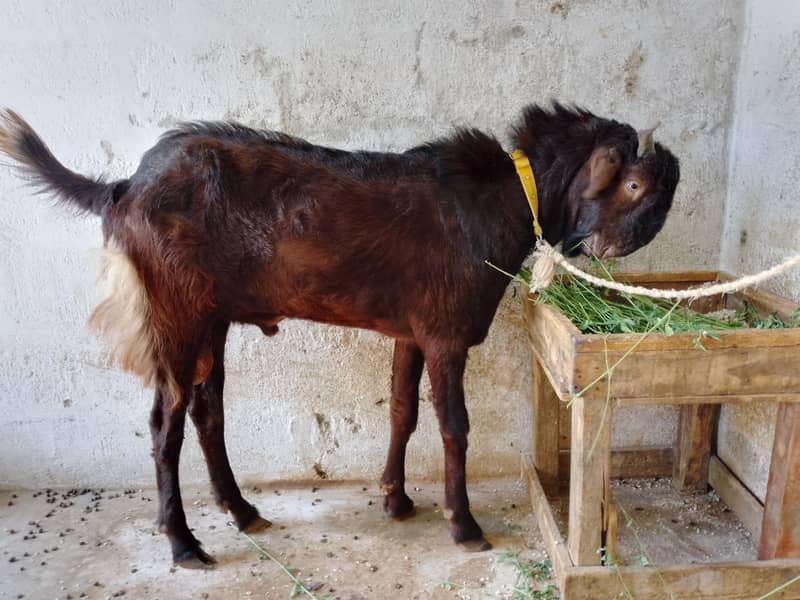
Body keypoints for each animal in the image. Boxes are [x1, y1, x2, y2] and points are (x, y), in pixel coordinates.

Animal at [0, 103, 679, 566]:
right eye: (634, 184)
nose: (615, 249)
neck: (507, 197)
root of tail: (122, 189)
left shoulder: (413, 330)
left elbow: (403, 410)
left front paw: (396, 500)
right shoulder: (446, 332)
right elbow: (453, 425)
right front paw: (463, 524)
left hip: (212, 316)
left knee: (206, 408)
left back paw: (242, 510)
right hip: (175, 315)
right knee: (164, 423)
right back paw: (184, 542)